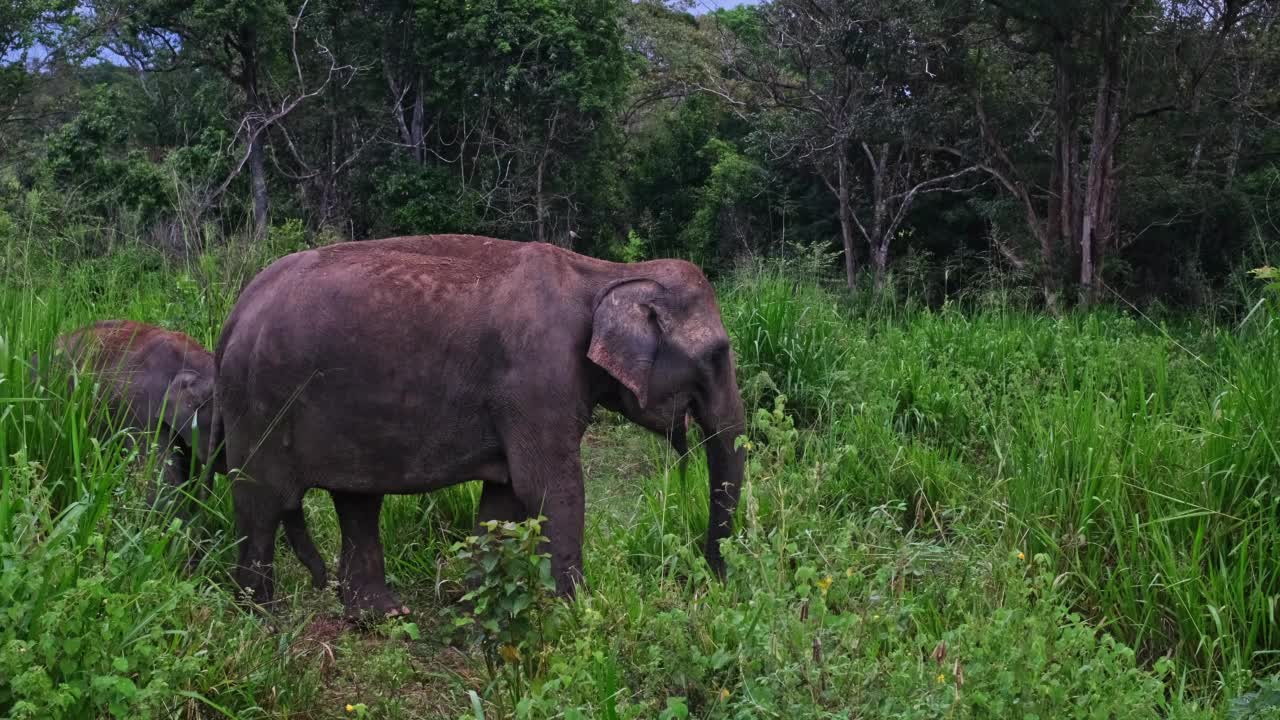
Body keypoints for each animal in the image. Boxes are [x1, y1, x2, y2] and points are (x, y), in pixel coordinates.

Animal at [212, 233, 747, 614]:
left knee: (356, 500)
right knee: (260, 503)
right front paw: (578, 616)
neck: (607, 274)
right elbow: (551, 489)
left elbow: (504, 498)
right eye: (717, 355)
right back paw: (263, 618)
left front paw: (479, 608)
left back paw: (382, 616)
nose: (713, 582)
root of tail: (235, 311)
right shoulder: (537, 380)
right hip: (258, 402)